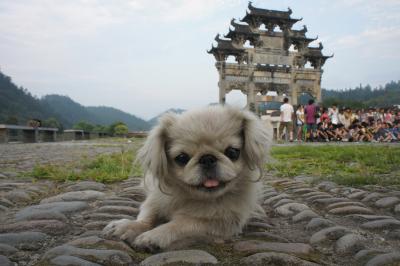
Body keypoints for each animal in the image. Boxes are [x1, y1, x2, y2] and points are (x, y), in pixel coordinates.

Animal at [103, 105, 272, 250]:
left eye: (232, 152)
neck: (193, 197)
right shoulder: (156, 200)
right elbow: (147, 217)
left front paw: (153, 236)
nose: (207, 158)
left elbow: (180, 224)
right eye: (182, 158)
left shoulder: (221, 223)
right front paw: (128, 226)